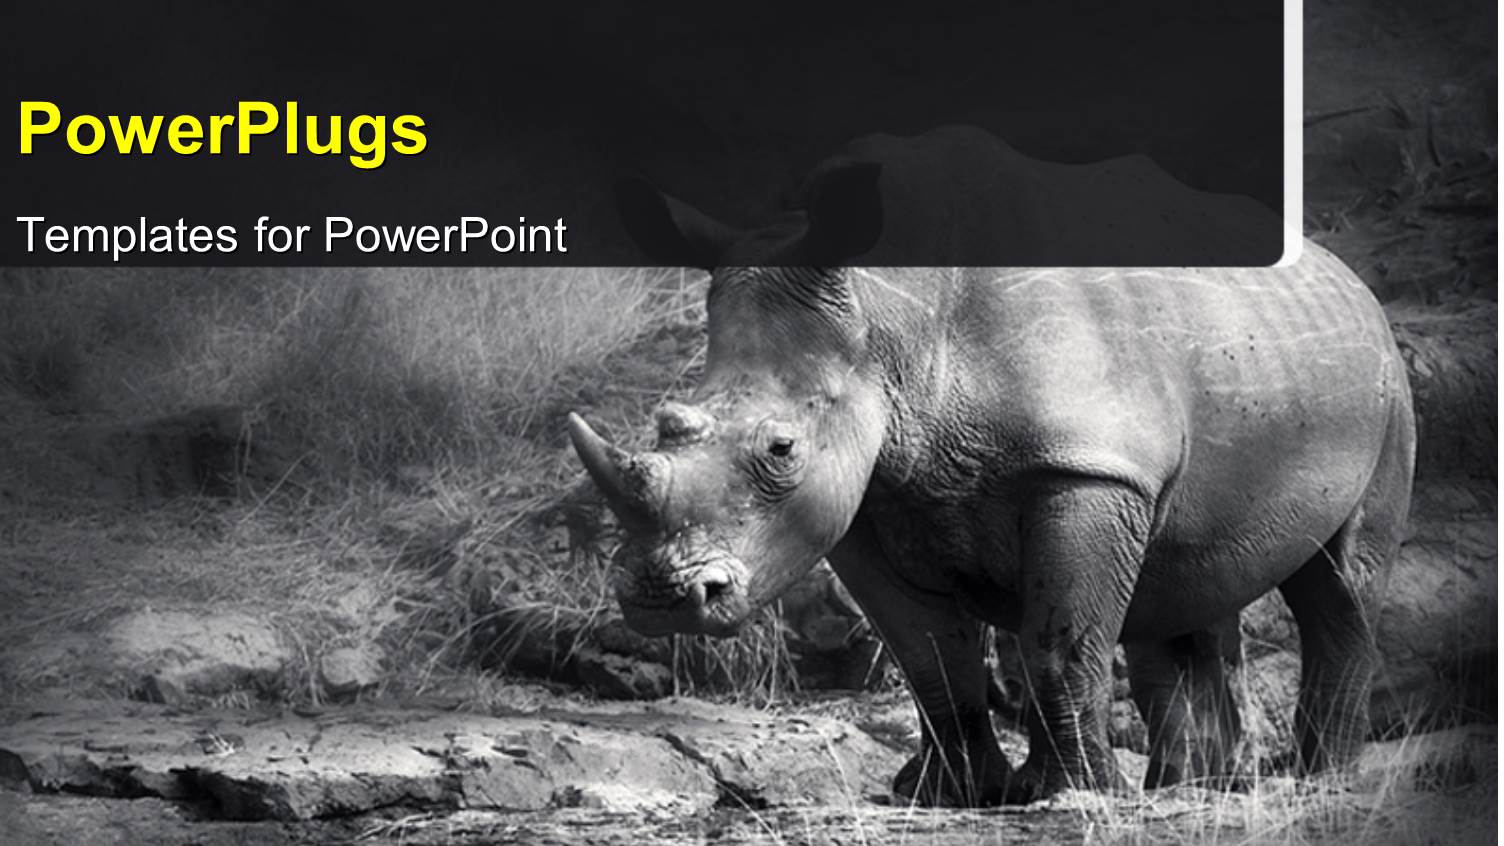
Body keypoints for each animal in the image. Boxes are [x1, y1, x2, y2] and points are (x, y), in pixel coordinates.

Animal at [569, 129, 1416, 805]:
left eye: (782, 450)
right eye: (667, 424)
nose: (662, 599)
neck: (890, 326)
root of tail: (1349, 278)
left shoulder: (1085, 468)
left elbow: (1058, 643)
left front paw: (1075, 795)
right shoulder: (871, 502)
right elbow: (933, 662)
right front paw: (951, 795)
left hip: (1385, 387)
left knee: (1337, 584)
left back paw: (1317, 779)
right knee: (1181, 587)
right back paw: (1194, 786)